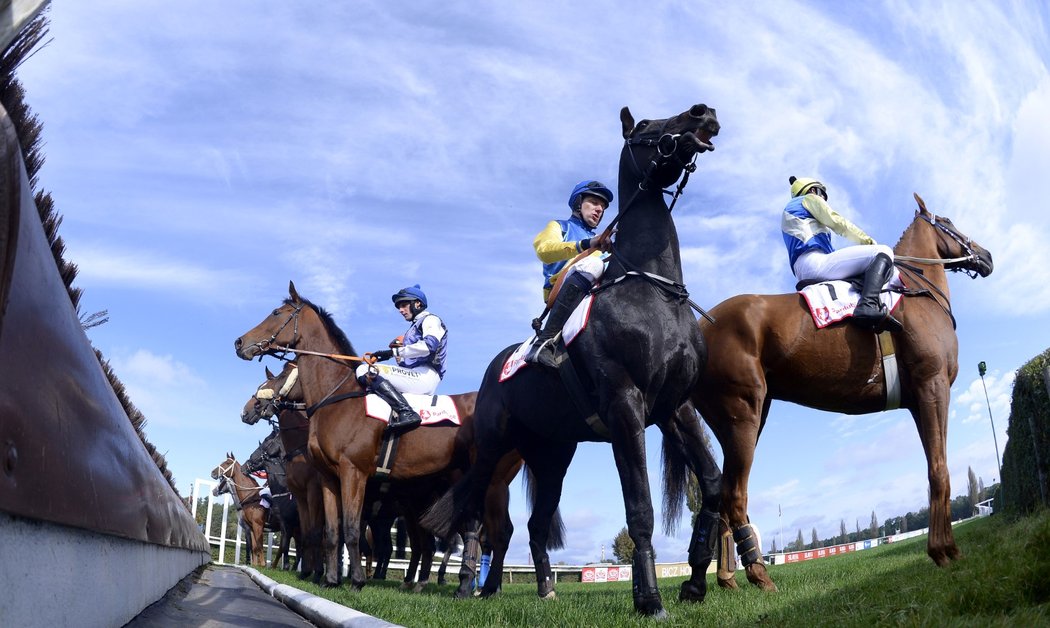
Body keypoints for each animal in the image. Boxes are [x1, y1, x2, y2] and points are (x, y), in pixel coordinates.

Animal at [232, 287, 558, 596]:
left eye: (276, 313)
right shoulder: (327, 479)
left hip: (492, 481)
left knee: (490, 533)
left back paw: (478, 587)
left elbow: (350, 529)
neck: (337, 399)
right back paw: (485, 588)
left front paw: (355, 581)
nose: (239, 342)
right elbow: (332, 532)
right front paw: (330, 581)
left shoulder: (353, 473)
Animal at [697, 194, 991, 592]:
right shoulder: (933, 386)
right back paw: (759, 574)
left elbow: (935, 466)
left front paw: (947, 549)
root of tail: (698, 325)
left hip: (741, 422)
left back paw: (729, 578)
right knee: (734, 494)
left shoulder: (919, 401)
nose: (985, 255)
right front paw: (943, 551)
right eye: (947, 221)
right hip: (743, 414)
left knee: (723, 494)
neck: (917, 292)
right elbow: (939, 469)